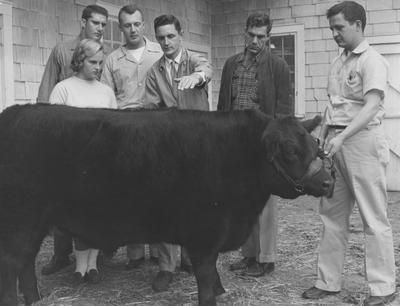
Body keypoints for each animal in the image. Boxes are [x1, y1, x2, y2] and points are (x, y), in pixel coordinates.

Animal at [0, 105, 334, 306]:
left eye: (315, 144)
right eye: (289, 149)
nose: (328, 182)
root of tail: (15, 113)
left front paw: (221, 289)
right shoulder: (204, 234)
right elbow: (205, 273)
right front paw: (212, 295)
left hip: (35, 223)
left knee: (25, 263)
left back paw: (35, 300)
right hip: (20, 221)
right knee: (11, 265)